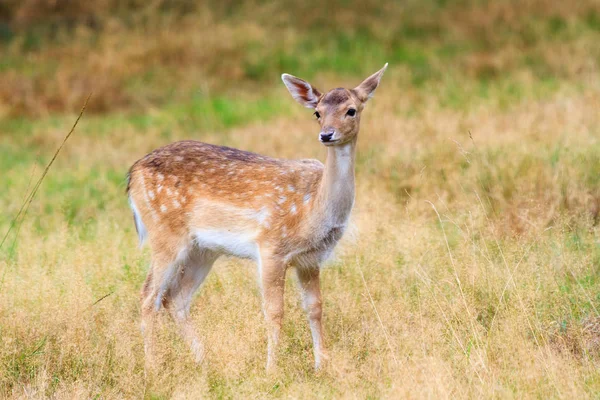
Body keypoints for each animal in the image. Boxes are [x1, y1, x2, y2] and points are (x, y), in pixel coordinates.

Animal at [126, 63, 390, 372]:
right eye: (317, 112)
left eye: (351, 110)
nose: (327, 134)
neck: (312, 210)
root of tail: (133, 174)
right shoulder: (271, 247)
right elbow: (274, 311)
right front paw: (272, 369)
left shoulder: (310, 258)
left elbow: (315, 308)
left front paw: (321, 366)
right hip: (165, 232)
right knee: (148, 295)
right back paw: (153, 367)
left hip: (203, 249)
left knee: (175, 298)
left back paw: (205, 363)